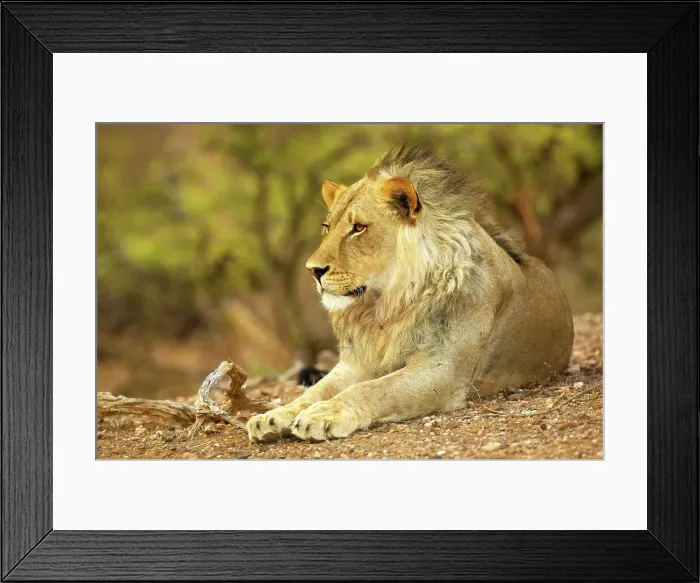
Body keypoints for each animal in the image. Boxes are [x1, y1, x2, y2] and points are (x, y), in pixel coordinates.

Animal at [247, 146, 573, 443]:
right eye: (327, 227)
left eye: (358, 228)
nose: (312, 270)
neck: (384, 307)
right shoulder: (356, 363)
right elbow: (316, 390)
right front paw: (274, 416)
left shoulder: (443, 371)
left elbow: (373, 389)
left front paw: (323, 415)